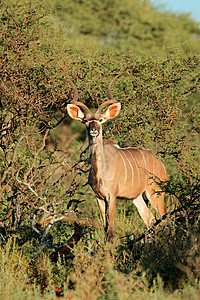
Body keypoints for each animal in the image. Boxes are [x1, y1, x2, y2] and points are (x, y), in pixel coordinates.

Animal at [66, 77, 166, 239]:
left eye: (100, 120)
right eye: (85, 120)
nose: (93, 130)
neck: (101, 171)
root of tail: (161, 164)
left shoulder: (111, 196)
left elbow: (111, 230)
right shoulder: (99, 197)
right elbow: (105, 227)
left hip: (156, 193)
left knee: (165, 219)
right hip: (138, 198)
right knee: (150, 221)